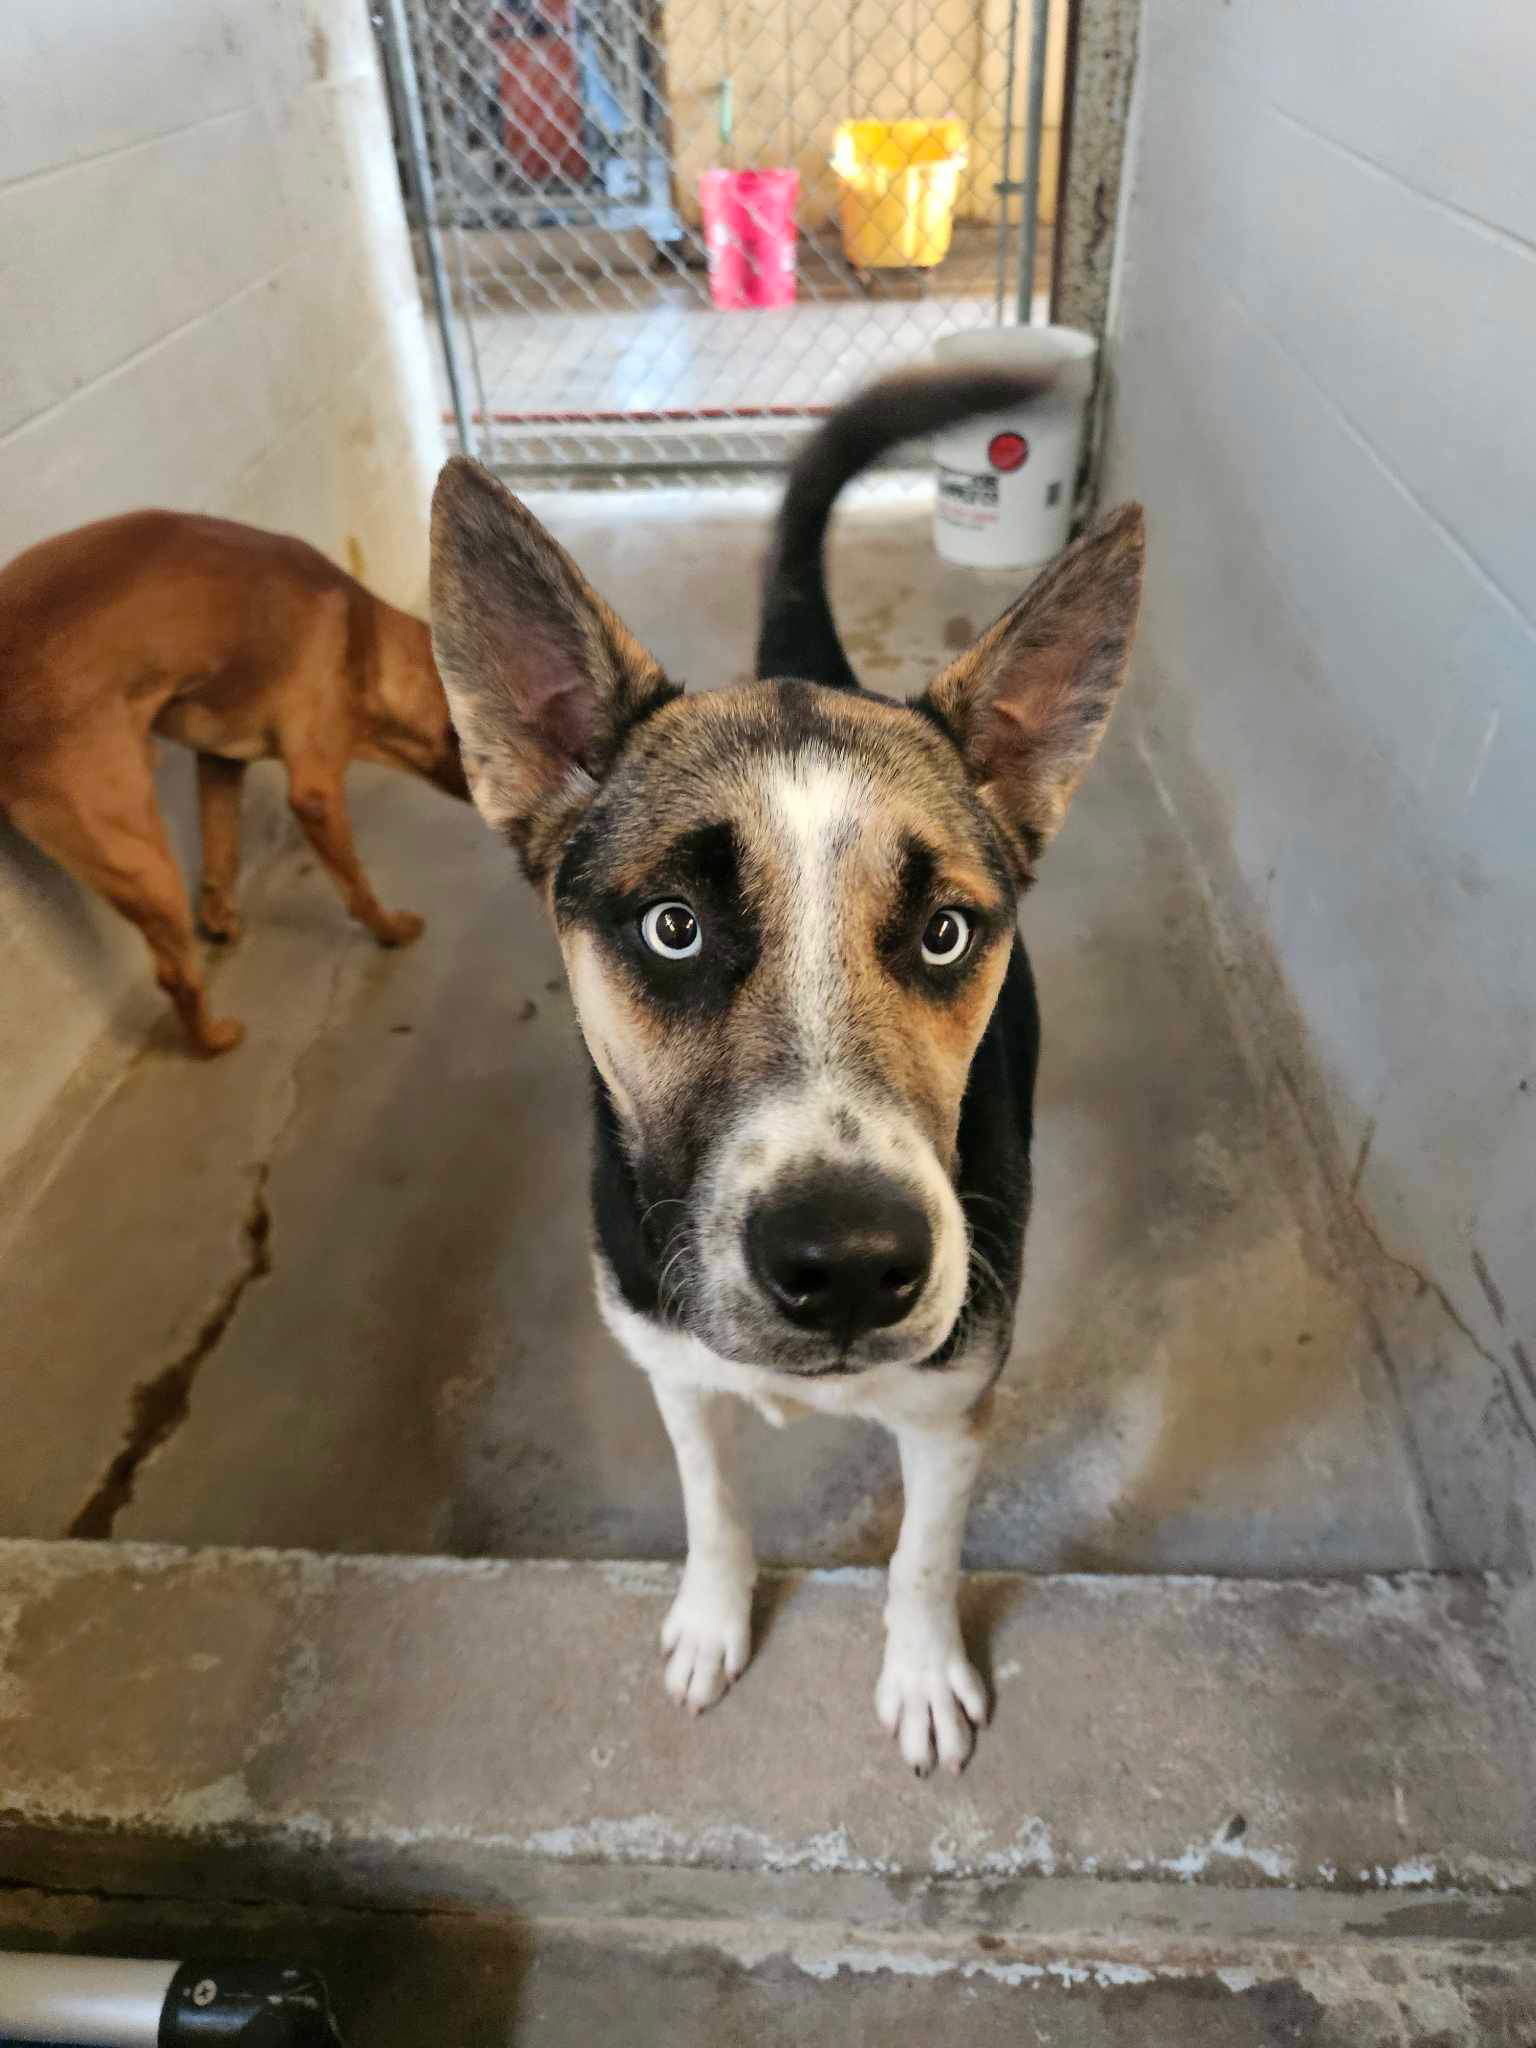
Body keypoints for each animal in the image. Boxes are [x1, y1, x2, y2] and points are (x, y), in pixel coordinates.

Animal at [0, 512, 468, 1056]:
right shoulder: (315, 792)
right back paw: (213, 1040)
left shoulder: (220, 762)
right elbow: (357, 886)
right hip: (138, 855)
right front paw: (390, 930)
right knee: (174, 976)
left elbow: (221, 853)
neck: (366, 641)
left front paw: (221, 921)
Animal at [430, 372, 1146, 1777]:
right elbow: (712, 1506)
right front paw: (714, 1621)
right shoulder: (671, 1367)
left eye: (945, 933)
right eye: (673, 926)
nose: (854, 1265)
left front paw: (921, 1674)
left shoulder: (952, 1403)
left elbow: (921, 1555)